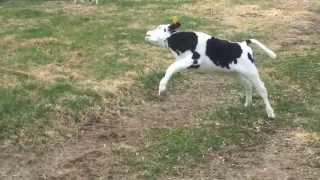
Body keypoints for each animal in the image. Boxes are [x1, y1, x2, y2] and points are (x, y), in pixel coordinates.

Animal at [146, 20, 278, 118]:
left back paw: (270, 112)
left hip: (251, 72)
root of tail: (243, 44)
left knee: (262, 89)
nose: (147, 33)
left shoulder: (193, 60)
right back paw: (247, 104)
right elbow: (171, 67)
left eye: (159, 27)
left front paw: (162, 88)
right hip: (237, 73)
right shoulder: (182, 61)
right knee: (248, 86)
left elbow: (170, 68)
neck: (179, 39)